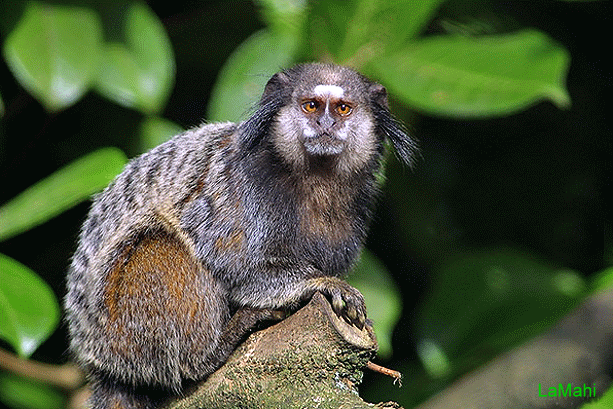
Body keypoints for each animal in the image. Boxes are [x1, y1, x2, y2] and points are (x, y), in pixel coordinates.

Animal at [64, 62, 417, 408]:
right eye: (311, 106)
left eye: (343, 108)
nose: (325, 123)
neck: (316, 179)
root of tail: (100, 365)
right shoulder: (239, 188)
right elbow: (236, 268)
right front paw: (319, 284)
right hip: (121, 322)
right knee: (165, 246)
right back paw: (209, 352)